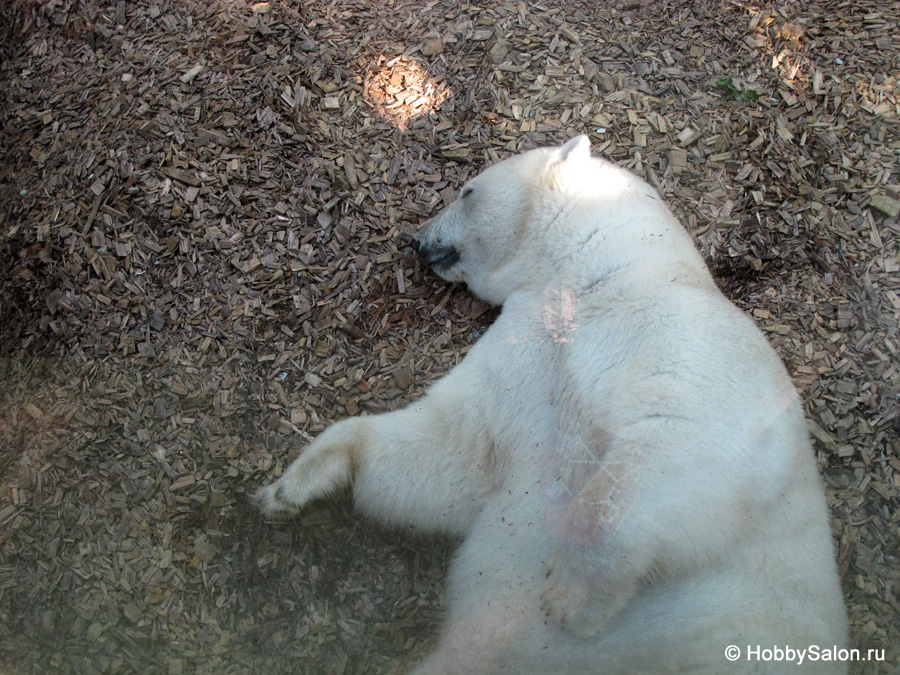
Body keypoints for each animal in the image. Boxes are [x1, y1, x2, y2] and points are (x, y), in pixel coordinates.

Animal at [255, 137, 852, 675]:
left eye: (467, 190)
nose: (415, 239)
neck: (592, 282)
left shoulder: (689, 339)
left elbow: (685, 441)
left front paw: (568, 601)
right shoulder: (530, 350)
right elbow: (463, 447)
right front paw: (293, 485)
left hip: (719, 633)